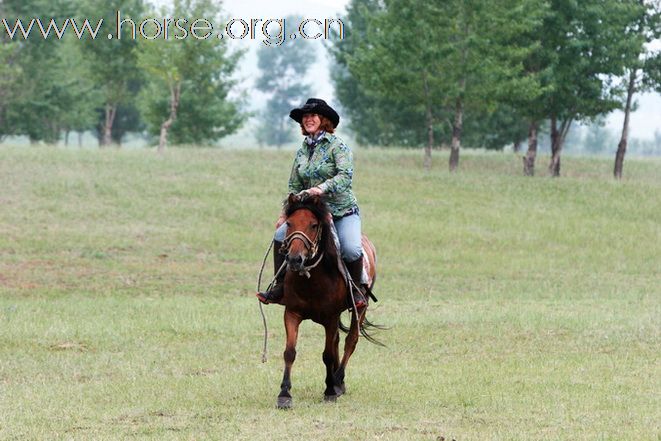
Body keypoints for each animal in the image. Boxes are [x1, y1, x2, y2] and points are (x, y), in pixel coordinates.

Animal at [274, 194, 376, 408]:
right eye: (289, 223)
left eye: (313, 225)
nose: (295, 259)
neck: (312, 279)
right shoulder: (292, 313)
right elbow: (290, 352)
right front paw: (284, 394)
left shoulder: (330, 317)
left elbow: (327, 355)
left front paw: (330, 390)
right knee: (337, 341)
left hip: (360, 309)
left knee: (350, 341)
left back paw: (338, 380)